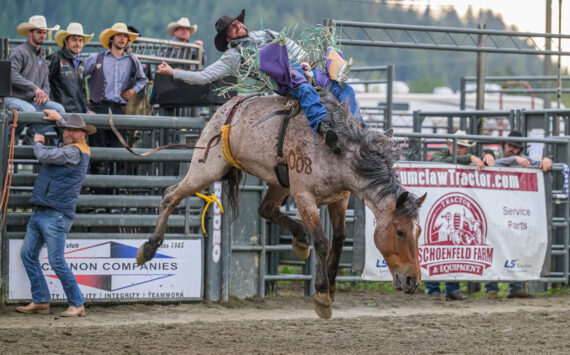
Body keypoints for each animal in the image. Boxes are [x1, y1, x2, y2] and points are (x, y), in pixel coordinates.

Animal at [135, 92, 424, 320]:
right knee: (171, 195)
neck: (339, 152)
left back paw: (299, 239)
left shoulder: (339, 199)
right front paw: (322, 295)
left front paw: (331, 286)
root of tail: (230, 105)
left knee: (266, 209)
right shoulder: (304, 196)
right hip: (208, 167)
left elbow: (340, 239)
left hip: (278, 181)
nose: (413, 280)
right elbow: (323, 242)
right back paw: (147, 249)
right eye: (400, 231)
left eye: (418, 232)